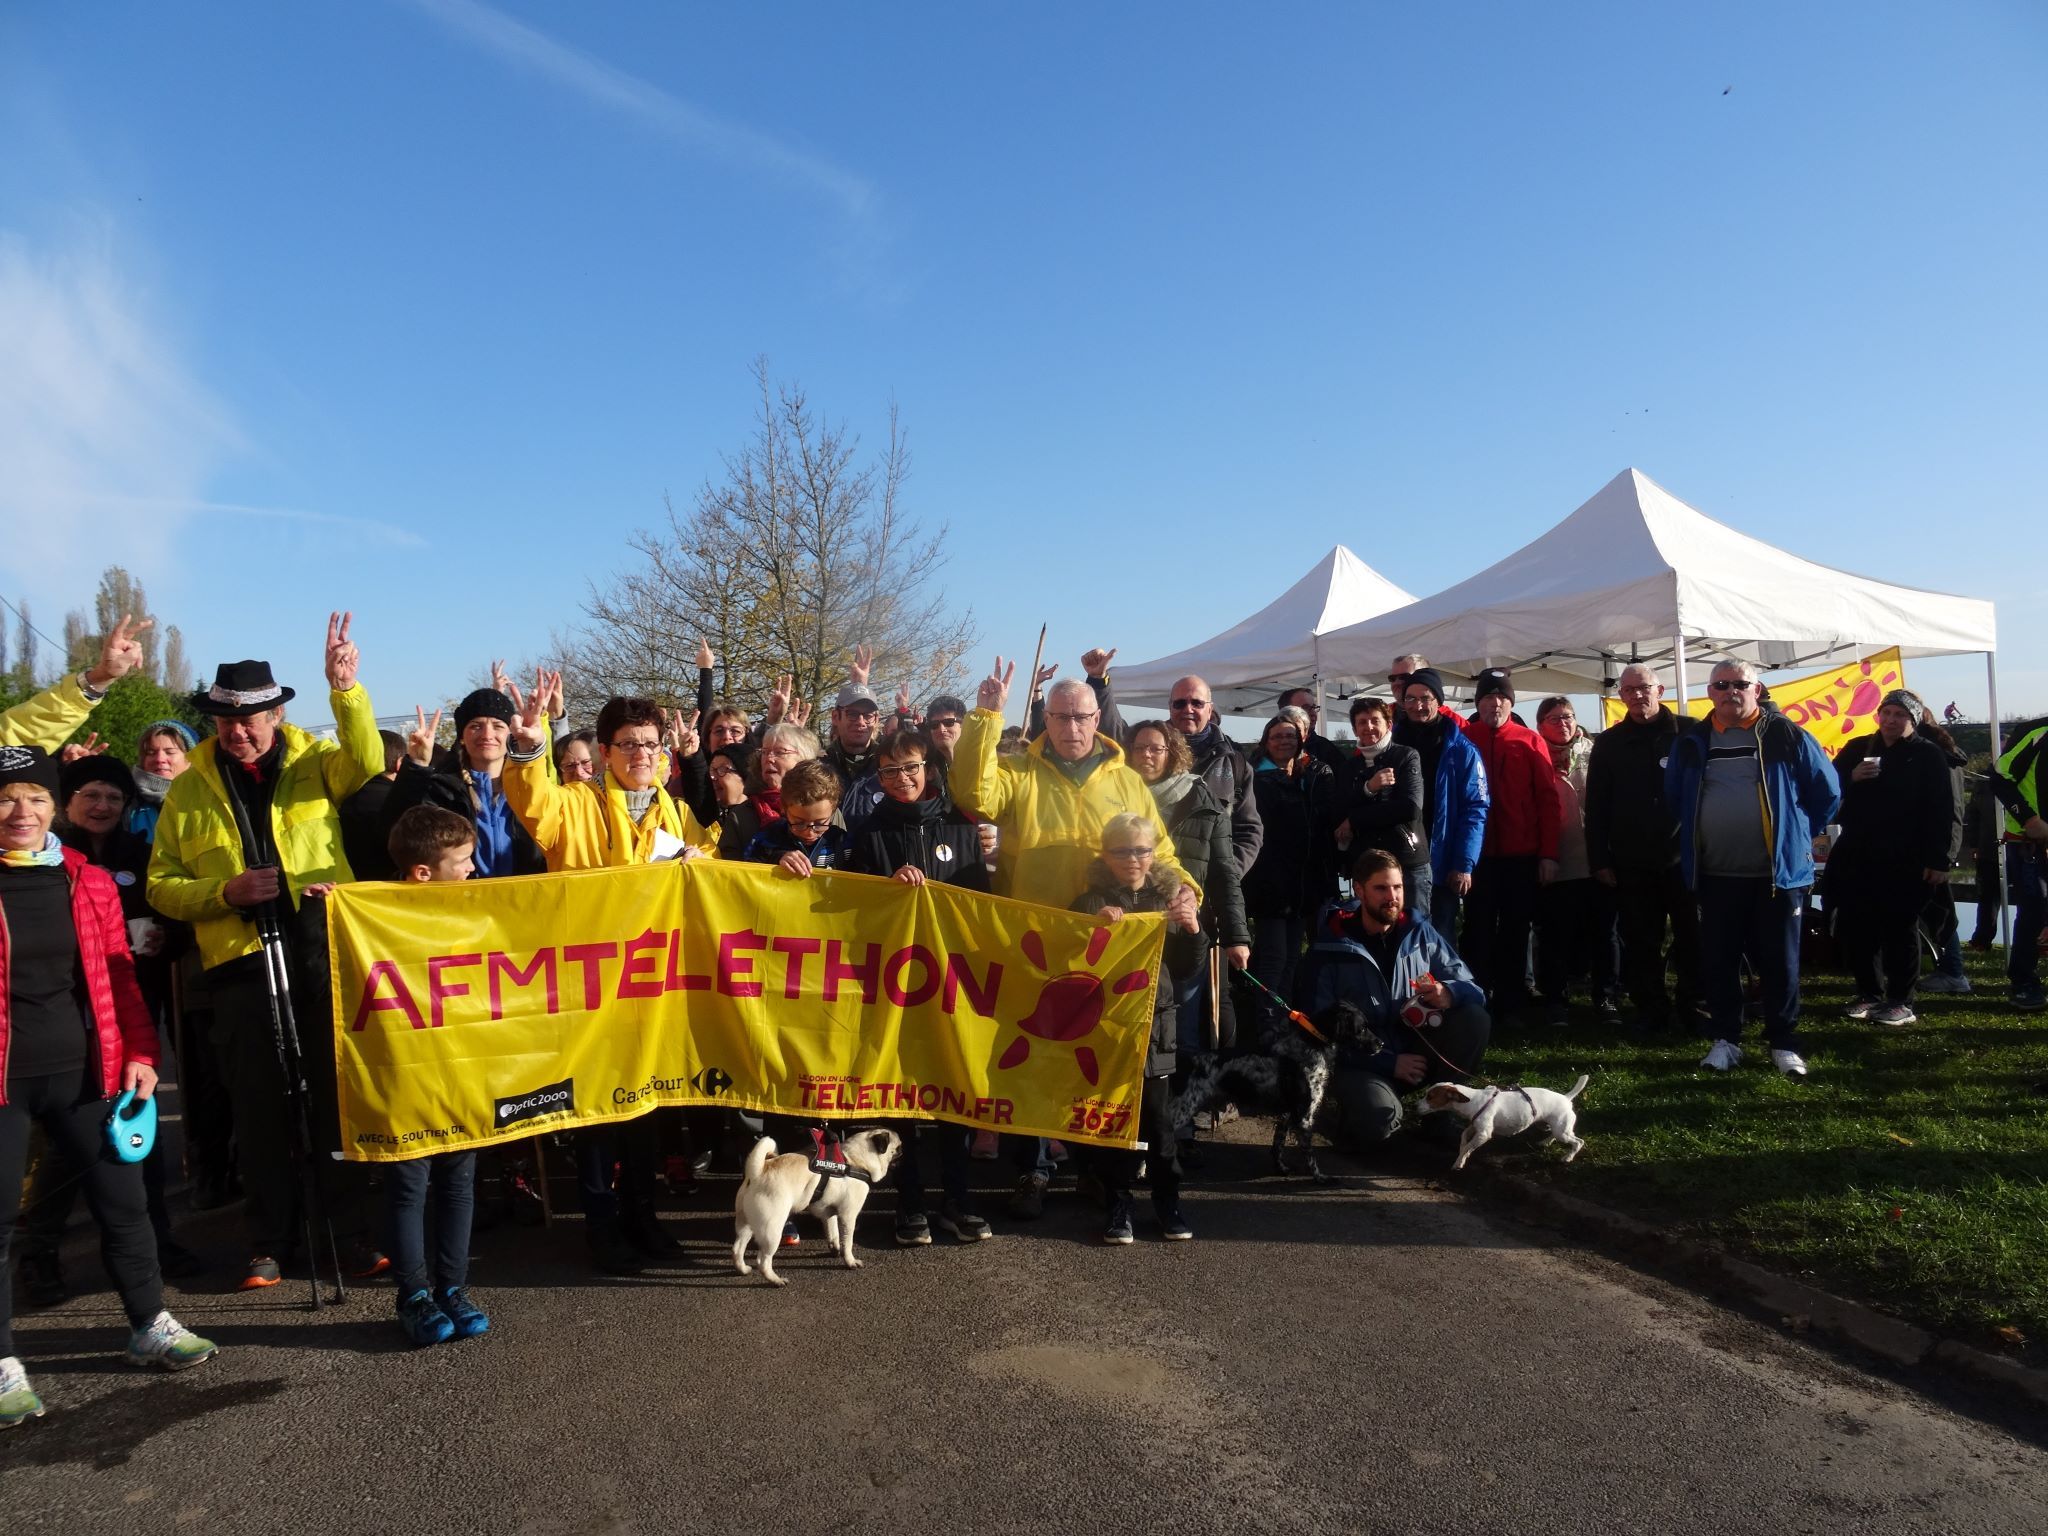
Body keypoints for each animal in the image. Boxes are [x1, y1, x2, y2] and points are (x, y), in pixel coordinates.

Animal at [1171, 1003, 1376, 1187]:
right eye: (1362, 1028)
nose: (1380, 1044)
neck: (1311, 1045)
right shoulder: (1304, 1117)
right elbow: (1310, 1155)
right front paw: (1321, 1178)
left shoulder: (1287, 1114)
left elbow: (1278, 1145)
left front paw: (1281, 1169)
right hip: (1182, 1109)